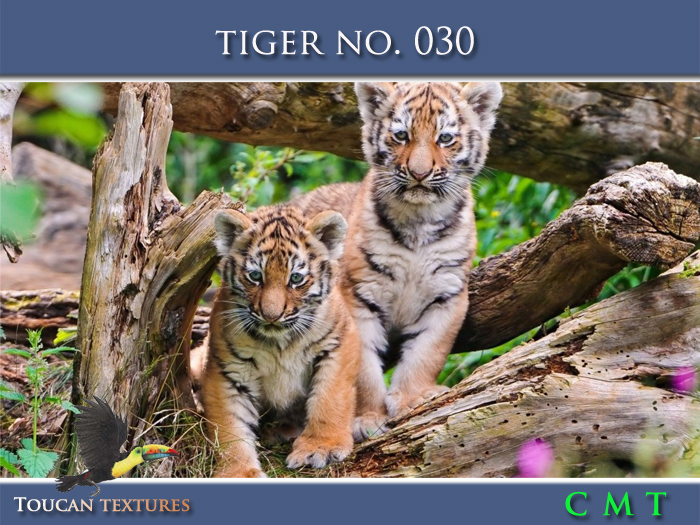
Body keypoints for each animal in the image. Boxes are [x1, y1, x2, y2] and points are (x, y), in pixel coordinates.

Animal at [201, 204, 360, 477]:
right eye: (255, 276)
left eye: (296, 279)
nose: (271, 315)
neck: (280, 343)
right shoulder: (228, 370)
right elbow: (230, 426)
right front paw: (238, 472)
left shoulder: (339, 342)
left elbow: (330, 398)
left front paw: (320, 447)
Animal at [294, 82, 503, 440]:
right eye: (401, 135)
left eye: (445, 138)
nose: (419, 173)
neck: (419, 221)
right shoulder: (358, 295)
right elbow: (362, 368)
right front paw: (366, 418)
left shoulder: (447, 295)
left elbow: (427, 352)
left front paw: (412, 399)